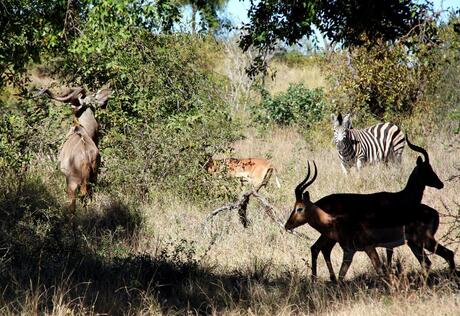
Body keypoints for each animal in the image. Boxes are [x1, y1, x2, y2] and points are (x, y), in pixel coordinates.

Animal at [286, 138, 454, 282]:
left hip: (421, 242)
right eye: (427, 169)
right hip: (417, 243)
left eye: (299, 208)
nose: (440, 184)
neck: (402, 196)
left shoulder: (371, 247)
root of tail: (434, 212)